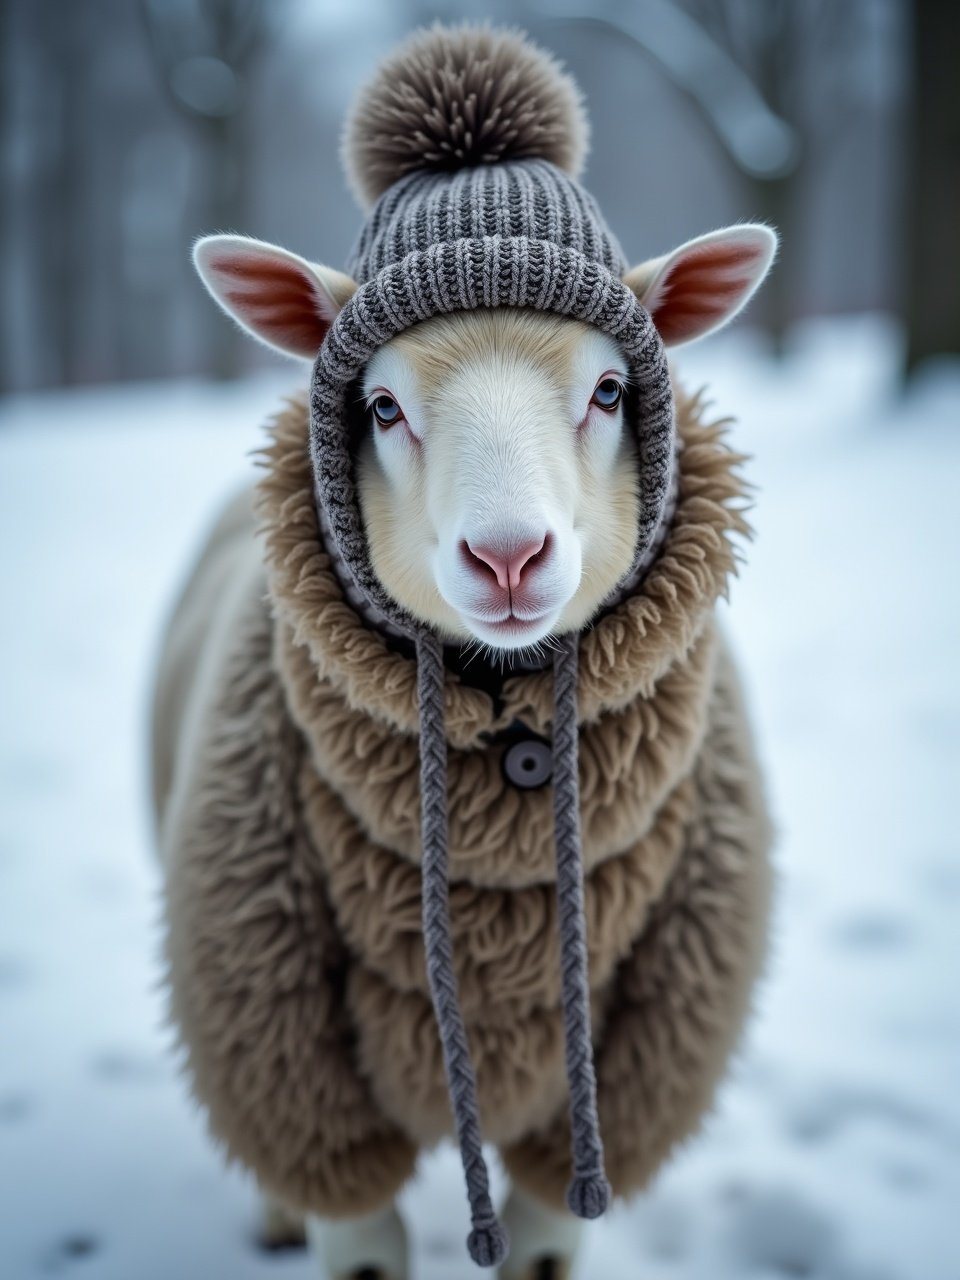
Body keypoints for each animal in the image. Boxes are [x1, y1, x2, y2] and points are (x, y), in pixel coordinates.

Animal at [152, 22, 783, 1280]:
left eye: (610, 387)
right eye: (382, 407)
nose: (507, 557)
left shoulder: (612, 1077)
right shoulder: (296, 1060)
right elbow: (354, 1225)